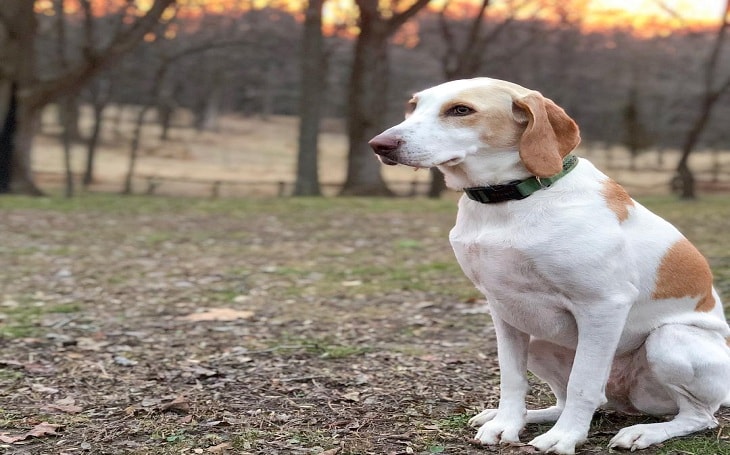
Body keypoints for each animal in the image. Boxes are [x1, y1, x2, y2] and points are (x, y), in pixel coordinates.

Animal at [366, 76, 728, 454]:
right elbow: (512, 378)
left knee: (697, 416)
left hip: (670, 340)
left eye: (461, 110)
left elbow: (584, 383)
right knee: (571, 400)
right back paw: (529, 416)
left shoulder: (603, 305)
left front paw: (565, 437)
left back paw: (643, 432)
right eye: (413, 106)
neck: (509, 200)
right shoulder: (503, 308)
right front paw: (506, 424)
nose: (380, 144)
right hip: (540, 342)